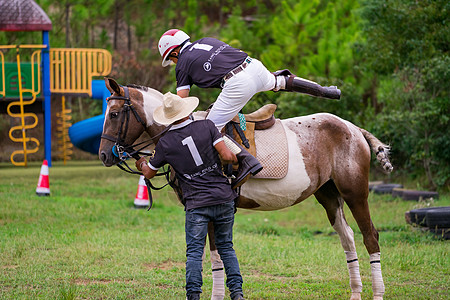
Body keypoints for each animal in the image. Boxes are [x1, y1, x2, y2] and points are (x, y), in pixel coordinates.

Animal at [99, 78, 394, 300]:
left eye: (113, 114)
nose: (104, 155)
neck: (181, 130)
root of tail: (354, 128)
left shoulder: (214, 209)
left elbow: (216, 256)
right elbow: (208, 255)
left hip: (355, 194)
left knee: (371, 236)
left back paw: (378, 293)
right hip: (328, 196)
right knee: (348, 237)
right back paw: (355, 292)